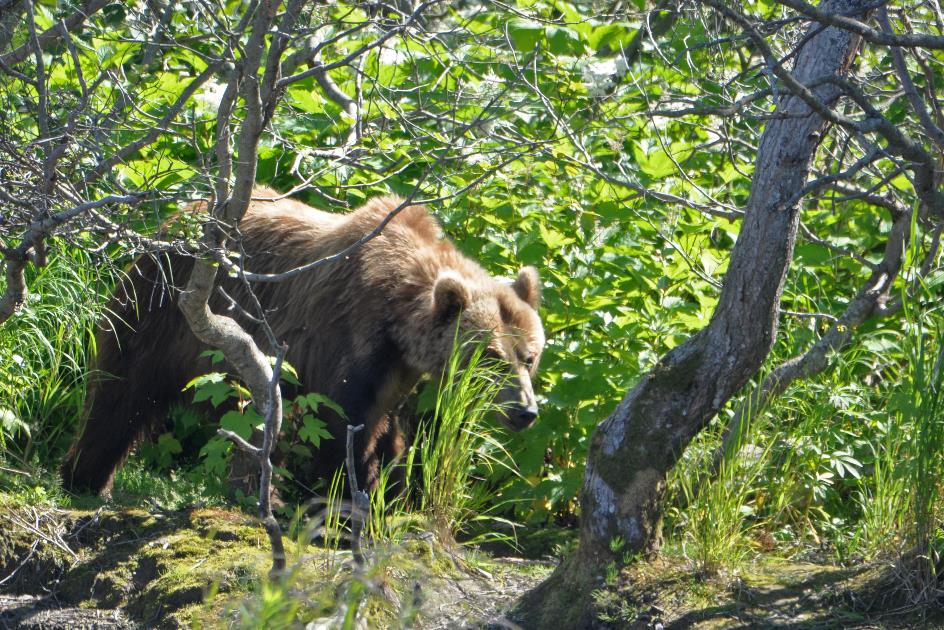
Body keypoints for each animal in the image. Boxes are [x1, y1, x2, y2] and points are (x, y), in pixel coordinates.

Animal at [60, 190, 544, 496]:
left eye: (529, 357)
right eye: (491, 357)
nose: (526, 411)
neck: (397, 320)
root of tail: (176, 215)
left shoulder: (399, 376)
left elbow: (389, 435)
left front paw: (391, 493)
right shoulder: (346, 342)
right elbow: (342, 427)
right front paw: (343, 498)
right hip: (161, 309)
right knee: (121, 391)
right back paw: (85, 479)